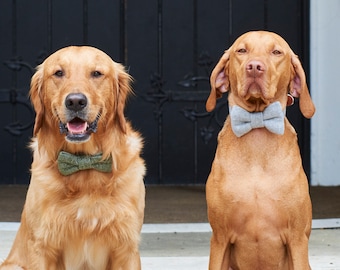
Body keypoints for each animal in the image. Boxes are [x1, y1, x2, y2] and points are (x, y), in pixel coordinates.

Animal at [0, 46, 145, 270]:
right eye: (59, 73)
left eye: (96, 73)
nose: (75, 101)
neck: (83, 162)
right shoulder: (42, 246)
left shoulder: (126, 248)